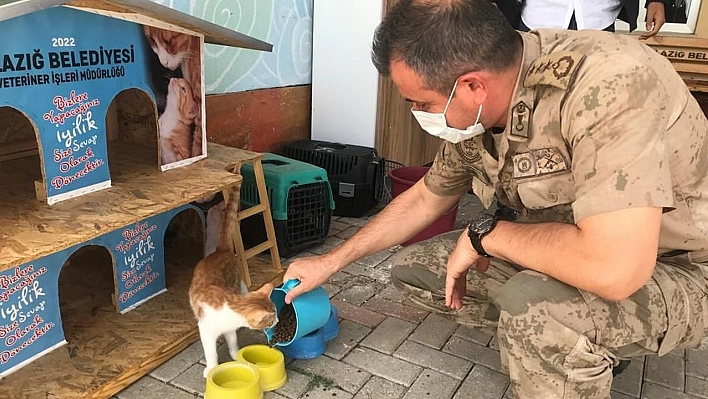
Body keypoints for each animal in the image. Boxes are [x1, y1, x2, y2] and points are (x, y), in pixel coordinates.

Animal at [188, 175, 276, 378]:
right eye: (272, 317)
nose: (277, 320)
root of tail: (221, 251)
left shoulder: (229, 329)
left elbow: (233, 342)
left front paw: (236, 356)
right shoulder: (206, 330)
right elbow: (211, 352)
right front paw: (211, 368)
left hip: (241, 284)